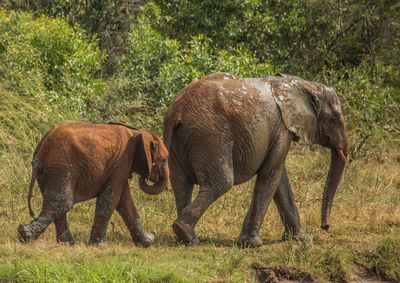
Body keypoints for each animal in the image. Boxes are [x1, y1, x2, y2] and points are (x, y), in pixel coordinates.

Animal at [17, 122, 169, 248]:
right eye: (165, 159)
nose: (148, 176)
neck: (139, 132)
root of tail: (40, 150)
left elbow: (124, 201)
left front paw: (147, 242)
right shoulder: (122, 162)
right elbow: (111, 197)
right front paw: (100, 246)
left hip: (49, 172)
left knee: (56, 203)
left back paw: (66, 244)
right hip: (62, 168)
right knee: (63, 203)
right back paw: (24, 234)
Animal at [162, 73, 346, 248]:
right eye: (334, 119)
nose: (326, 227)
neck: (303, 84)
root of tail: (176, 112)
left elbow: (279, 179)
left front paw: (301, 238)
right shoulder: (282, 129)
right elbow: (270, 174)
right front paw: (252, 244)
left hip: (180, 141)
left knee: (181, 184)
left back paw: (188, 239)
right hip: (210, 136)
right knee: (220, 183)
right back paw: (184, 231)